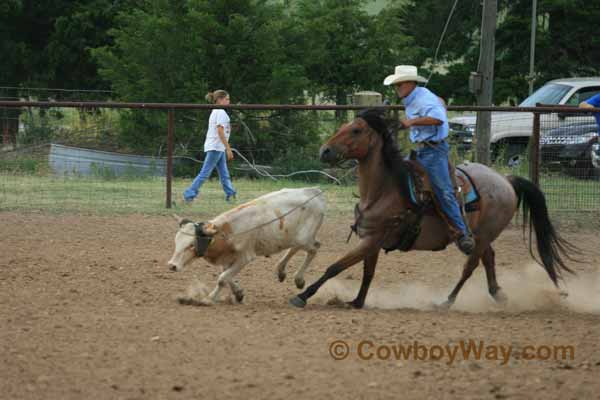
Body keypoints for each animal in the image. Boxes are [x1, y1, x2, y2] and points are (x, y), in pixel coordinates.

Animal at [166, 188, 326, 304]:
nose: (172, 265)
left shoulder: (245, 257)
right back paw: (281, 270)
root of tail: (315, 192)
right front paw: (238, 293)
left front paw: (209, 298)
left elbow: (222, 278)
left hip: (304, 239)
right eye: (176, 241)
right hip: (295, 238)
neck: (228, 230)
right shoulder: (227, 258)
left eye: (191, 245)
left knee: (314, 248)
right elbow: (227, 276)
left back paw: (298, 279)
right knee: (296, 248)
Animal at [290, 108, 576, 308]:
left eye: (356, 130)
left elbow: (335, 267)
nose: (325, 151)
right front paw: (357, 302)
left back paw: (447, 301)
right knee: (489, 258)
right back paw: (498, 295)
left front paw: (302, 296)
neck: (384, 189)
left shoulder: (373, 239)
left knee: (470, 266)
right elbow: (367, 272)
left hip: (484, 234)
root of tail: (505, 180)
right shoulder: (370, 240)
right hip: (481, 235)